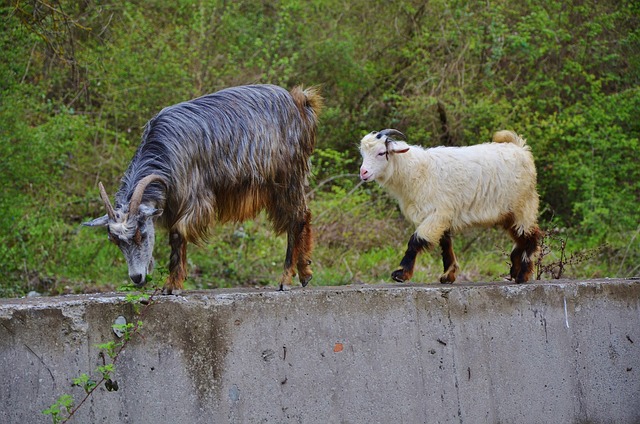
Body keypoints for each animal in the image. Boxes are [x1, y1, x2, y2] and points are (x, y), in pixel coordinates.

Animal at [85, 84, 322, 294]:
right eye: (115, 241)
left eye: (140, 234)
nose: (137, 278)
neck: (164, 151)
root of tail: (299, 102)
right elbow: (176, 239)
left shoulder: (194, 196)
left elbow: (178, 234)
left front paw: (172, 285)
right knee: (304, 215)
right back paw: (305, 272)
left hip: (287, 178)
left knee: (296, 218)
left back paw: (286, 279)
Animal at [360, 127, 540, 284]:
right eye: (363, 153)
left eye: (381, 153)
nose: (363, 173)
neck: (417, 171)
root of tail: (519, 148)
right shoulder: (441, 217)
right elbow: (445, 244)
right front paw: (448, 275)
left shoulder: (438, 212)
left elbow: (415, 241)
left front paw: (401, 273)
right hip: (508, 213)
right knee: (521, 237)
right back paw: (515, 270)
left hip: (523, 206)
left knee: (532, 236)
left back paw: (523, 275)